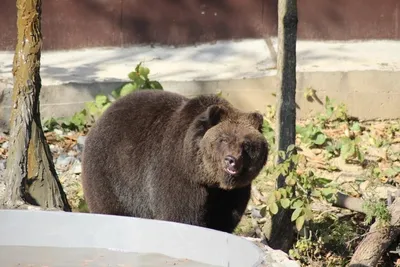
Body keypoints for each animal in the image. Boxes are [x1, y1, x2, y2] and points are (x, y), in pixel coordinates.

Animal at [81, 90, 268, 234]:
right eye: (223, 139)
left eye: (247, 144)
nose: (231, 160)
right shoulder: (178, 176)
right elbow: (181, 215)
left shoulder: (231, 193)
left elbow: (224, 218)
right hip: (110, 174)